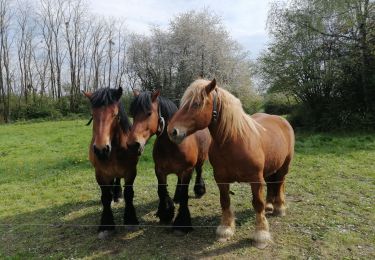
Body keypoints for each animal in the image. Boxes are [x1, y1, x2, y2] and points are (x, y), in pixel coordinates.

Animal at [83, 87, 140, 240]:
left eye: (115, 115)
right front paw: (106, 225)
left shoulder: (130, 171)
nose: (101, 149)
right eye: (92, 114)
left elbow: (129, 194)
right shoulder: (100, 174)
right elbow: (105, 197)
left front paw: (131, 220)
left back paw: (117, 195)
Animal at [128, 90, 212, 234]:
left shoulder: (187, 170)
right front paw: (165, 213)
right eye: (133, 113)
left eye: (149, 113)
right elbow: (162, 191)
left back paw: (199, 190)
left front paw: (182, 223)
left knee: (199, 172)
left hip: (200, 160)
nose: (134, 145)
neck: (172, 145)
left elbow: (184, 195)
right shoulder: (159, 170)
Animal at [168, 78, 296, 248]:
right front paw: (226, 229)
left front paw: (261, 234)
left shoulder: (256, 179)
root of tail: (281, 119)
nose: (172, 131)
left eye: (196, 103)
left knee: (280, 183)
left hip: (284, 166)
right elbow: (225, 202)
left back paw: (280, 207)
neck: (233, 141)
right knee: (271, 183)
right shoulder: (221, 179)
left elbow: (258, 203)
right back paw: (270, 205)